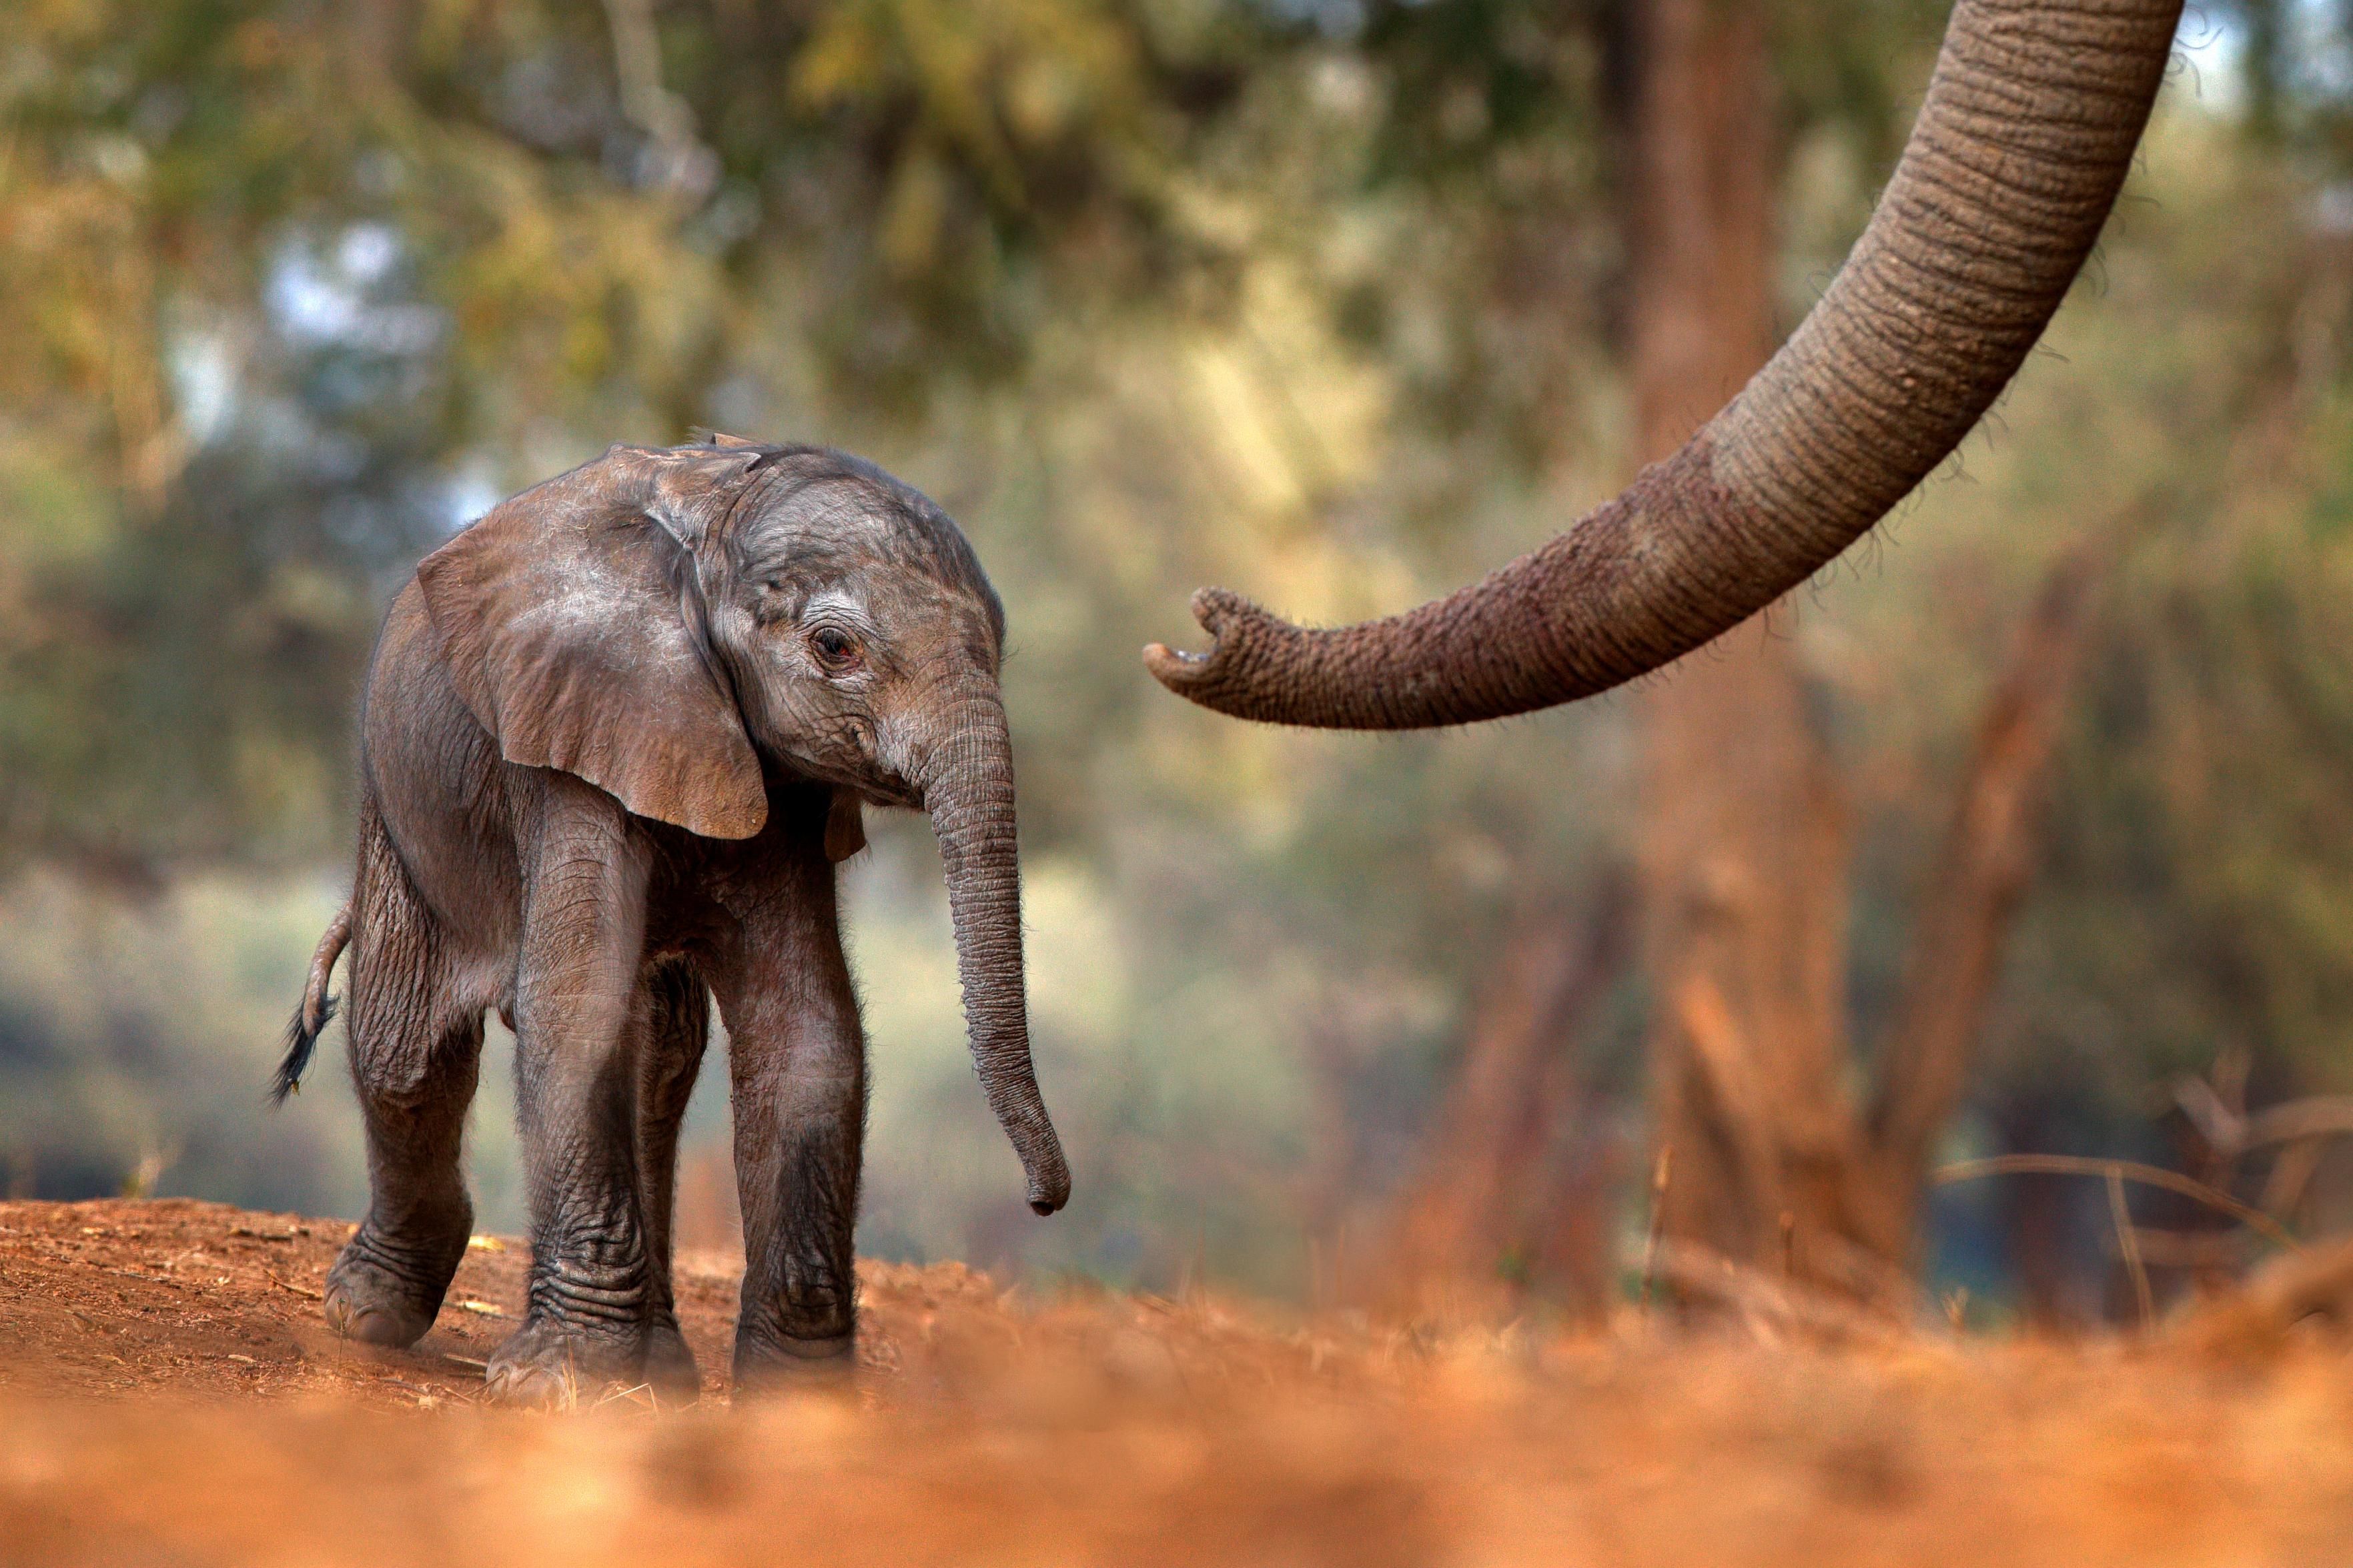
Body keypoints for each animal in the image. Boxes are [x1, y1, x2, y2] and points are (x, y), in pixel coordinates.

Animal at [272, 435, 1069, 1405]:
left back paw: (661, 1370)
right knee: (405, 1046)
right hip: (400, 796)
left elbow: (806, 1032)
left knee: (658, 1057)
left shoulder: (784, 789)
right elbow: (577, 1004)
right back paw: (368, 1313)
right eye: (833, 647)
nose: (1042, 1201)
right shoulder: (572, 736)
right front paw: (551, 1384)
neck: (714, 534)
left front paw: (799, 1398)